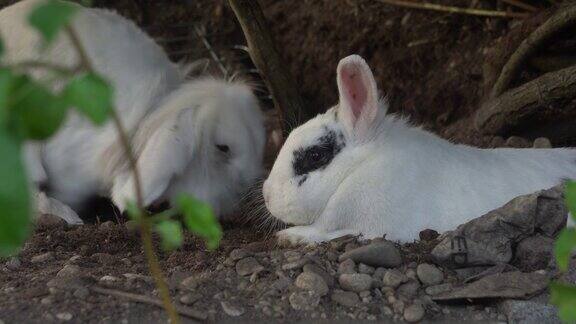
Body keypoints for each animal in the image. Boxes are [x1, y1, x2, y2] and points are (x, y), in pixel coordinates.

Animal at [262, 55, 576, 246]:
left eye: (316, 155)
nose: (266, 194)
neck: (363, 166)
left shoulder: (379, 227)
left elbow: (326, 231)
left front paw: (290, 236)